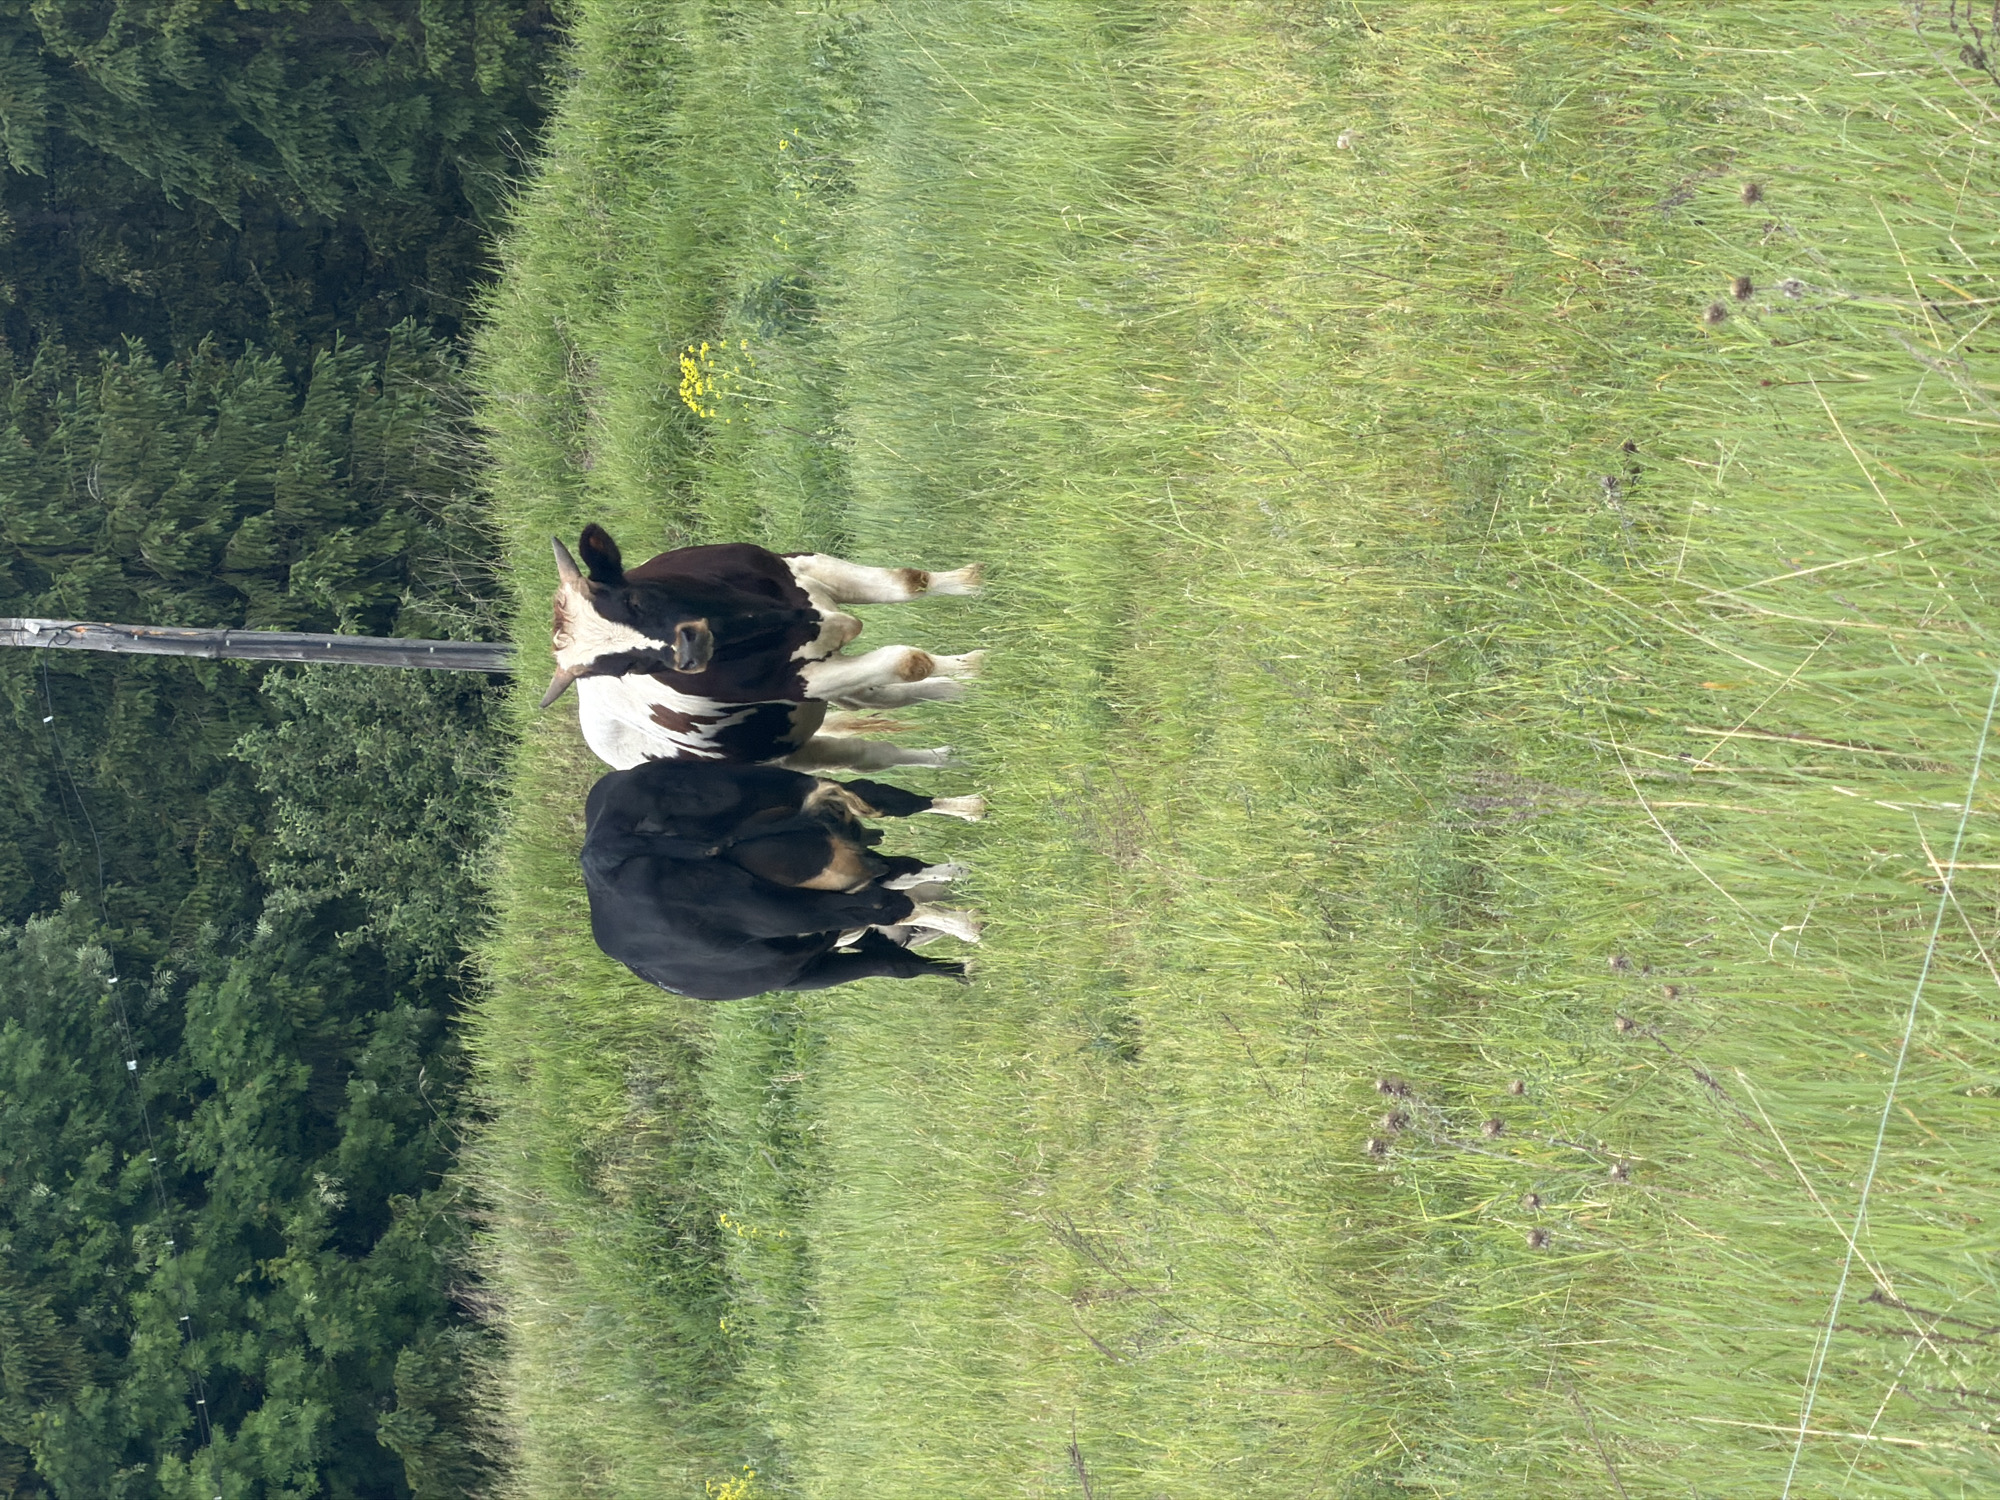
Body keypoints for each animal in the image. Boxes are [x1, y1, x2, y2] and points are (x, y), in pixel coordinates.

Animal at [541, 524, 984, 771]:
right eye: (627, 666)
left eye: (631, 600)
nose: (688, 650)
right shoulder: (804, 681)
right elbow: (908, 660)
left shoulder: (802, 564)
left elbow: (910, 582)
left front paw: (977, 584)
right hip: (792, 752)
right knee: (873, 754)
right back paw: (954, 763)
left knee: (878, 698)